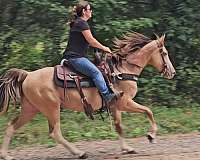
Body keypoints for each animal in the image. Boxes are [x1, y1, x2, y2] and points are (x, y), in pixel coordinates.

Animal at [0, 31, 175, 159]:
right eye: (165, 53)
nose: (172, 72)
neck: (123, 71)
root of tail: (27, 75)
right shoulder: (124, 102)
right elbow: (148, 111)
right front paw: (151, 135)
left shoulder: (115, 106)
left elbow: (119, 126)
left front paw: (127, 148)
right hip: (51, 109)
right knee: (55, 133)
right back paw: (79, 153)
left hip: (31, 109)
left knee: (11, 126)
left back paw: (6, 155)